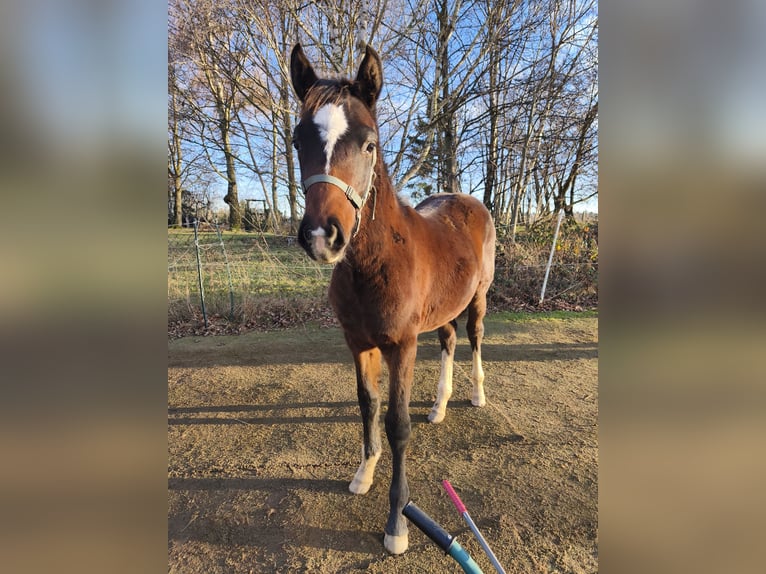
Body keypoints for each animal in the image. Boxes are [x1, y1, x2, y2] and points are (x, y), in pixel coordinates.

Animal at [289, 43, 496, 555]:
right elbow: (368, 405)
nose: (323, 236)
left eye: (369, 144)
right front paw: (363, 473)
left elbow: (398, 425)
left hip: (478, 298)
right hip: (443, 309)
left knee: (475, 337)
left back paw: (477, 395)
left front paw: (398, 523)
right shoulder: (358, 343)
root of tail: (469, 201)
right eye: (299, 141)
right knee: (448, 340)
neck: (374, 264)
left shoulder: (401, 345)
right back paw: (440, 406)